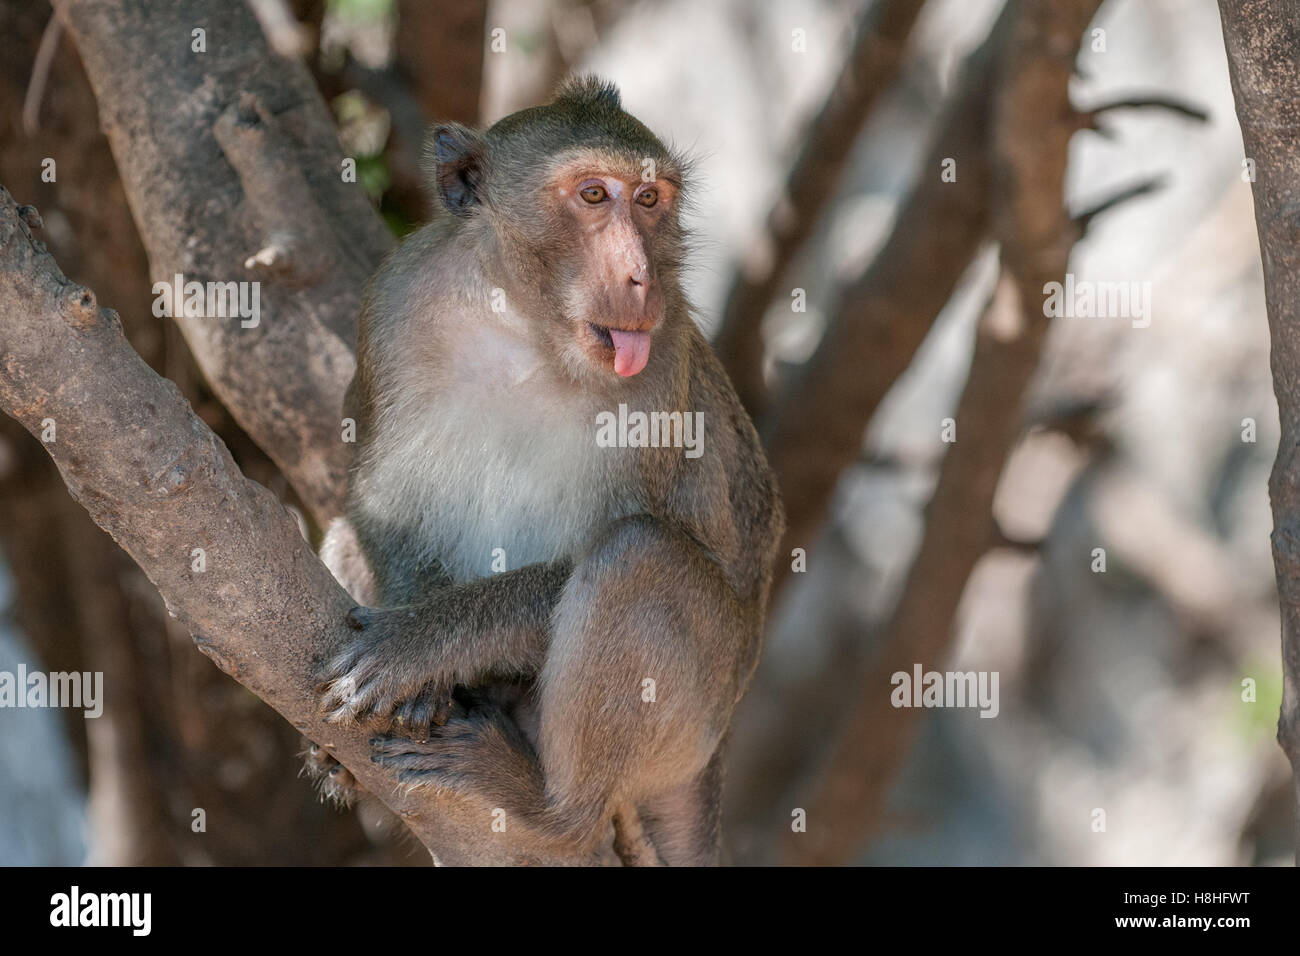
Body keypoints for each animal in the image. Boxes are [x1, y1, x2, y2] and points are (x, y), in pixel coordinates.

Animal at [308, 76, 780, 868]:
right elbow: (375, 507)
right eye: (592, 195)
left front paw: (422, 641)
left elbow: (600, 554)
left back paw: (551, 810)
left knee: (637, 554)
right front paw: (415, 627)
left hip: (700, 706)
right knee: (345, 529)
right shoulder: (392, 304)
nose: (640, 276)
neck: (524, 327)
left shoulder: (661, 368)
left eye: (649, 200)